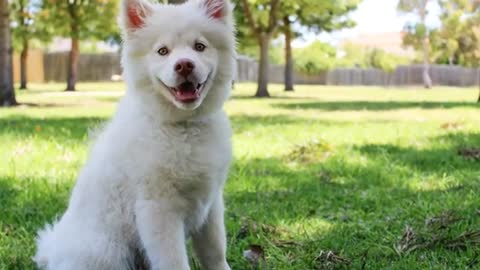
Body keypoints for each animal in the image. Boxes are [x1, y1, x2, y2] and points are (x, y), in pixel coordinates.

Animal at [33, 0, 236, 268]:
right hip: (108, 251)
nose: (184, 64)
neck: (183, 126)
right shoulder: (158, 208)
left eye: (199, 47)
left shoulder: (211, 203)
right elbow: (174, 261)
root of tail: (53, 252)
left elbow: (215, 251)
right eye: (163, 51)